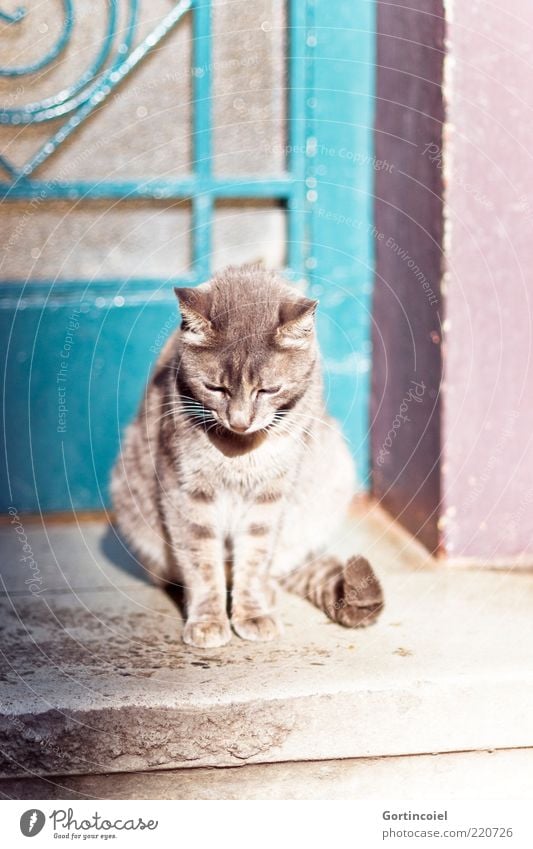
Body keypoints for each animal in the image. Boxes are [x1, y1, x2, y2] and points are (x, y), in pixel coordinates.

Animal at [111, 266, 382, 648]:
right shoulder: (186, 491)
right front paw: (208, 619)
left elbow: (254, 559)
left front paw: (252, 612)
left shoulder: (269, 497)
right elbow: (202, 563)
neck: (239, 449)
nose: (239, 420)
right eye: (215, 388)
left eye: (268, 389)